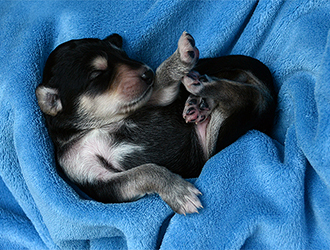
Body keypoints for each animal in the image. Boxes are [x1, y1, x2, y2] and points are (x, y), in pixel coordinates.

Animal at [35, 31, 276, 215]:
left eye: (124, 56)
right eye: (97, 74)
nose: (146, 72)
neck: (97, 126)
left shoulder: (154, 97)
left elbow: (162, 81)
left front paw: (178, 60)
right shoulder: (98, 179)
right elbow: (145, 171)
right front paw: (179, 193)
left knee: (251, 96)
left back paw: (199, 92)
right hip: (216, 138)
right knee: (251, 97)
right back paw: (199, 96)